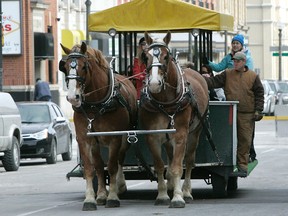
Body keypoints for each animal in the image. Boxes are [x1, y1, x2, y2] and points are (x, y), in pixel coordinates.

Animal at [59, 42, 137, 211]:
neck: (96, 105)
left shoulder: (114, 138)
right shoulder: (84, 139)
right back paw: (101, 195)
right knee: (100, 166)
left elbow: (112, 166)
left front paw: (113, 197)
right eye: (65, 66)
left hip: (124, 139)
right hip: (96, 143)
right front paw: (91, 199)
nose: (72, 97)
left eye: (83, 66)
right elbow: (91, 168)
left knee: (120, 160)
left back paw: (119, 186)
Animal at [139, 31, 208, 208]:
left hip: (195, 133)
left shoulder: (180, 135)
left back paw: (186, 192)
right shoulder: (153, 136)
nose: (154, 84)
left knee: (188, 161)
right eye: (146, 57)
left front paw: (178, 197)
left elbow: (178, 167)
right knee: (170, 160)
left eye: (166, 56)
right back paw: (171, 185)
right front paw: (163, 195)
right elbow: (159, 166)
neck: (164, 102)